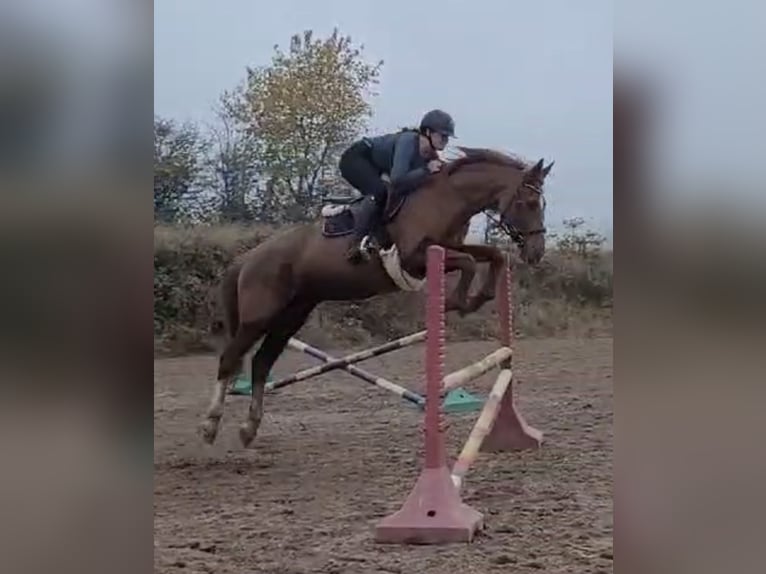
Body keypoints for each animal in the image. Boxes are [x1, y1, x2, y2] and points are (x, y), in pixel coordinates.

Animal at [201, 146, 556, 448]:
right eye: (526, 203)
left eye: (542, 204)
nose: (536, 252)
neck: (447, 198)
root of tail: (248, 258)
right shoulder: (416, 257)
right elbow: (469, 262)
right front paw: (458, 302)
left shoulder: (449, 246)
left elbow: (491, 255)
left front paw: (480, 296)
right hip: (259, 316)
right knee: (230, 358)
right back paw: (210, 425)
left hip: (291, 316)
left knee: (261, 363)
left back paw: (248, 429)